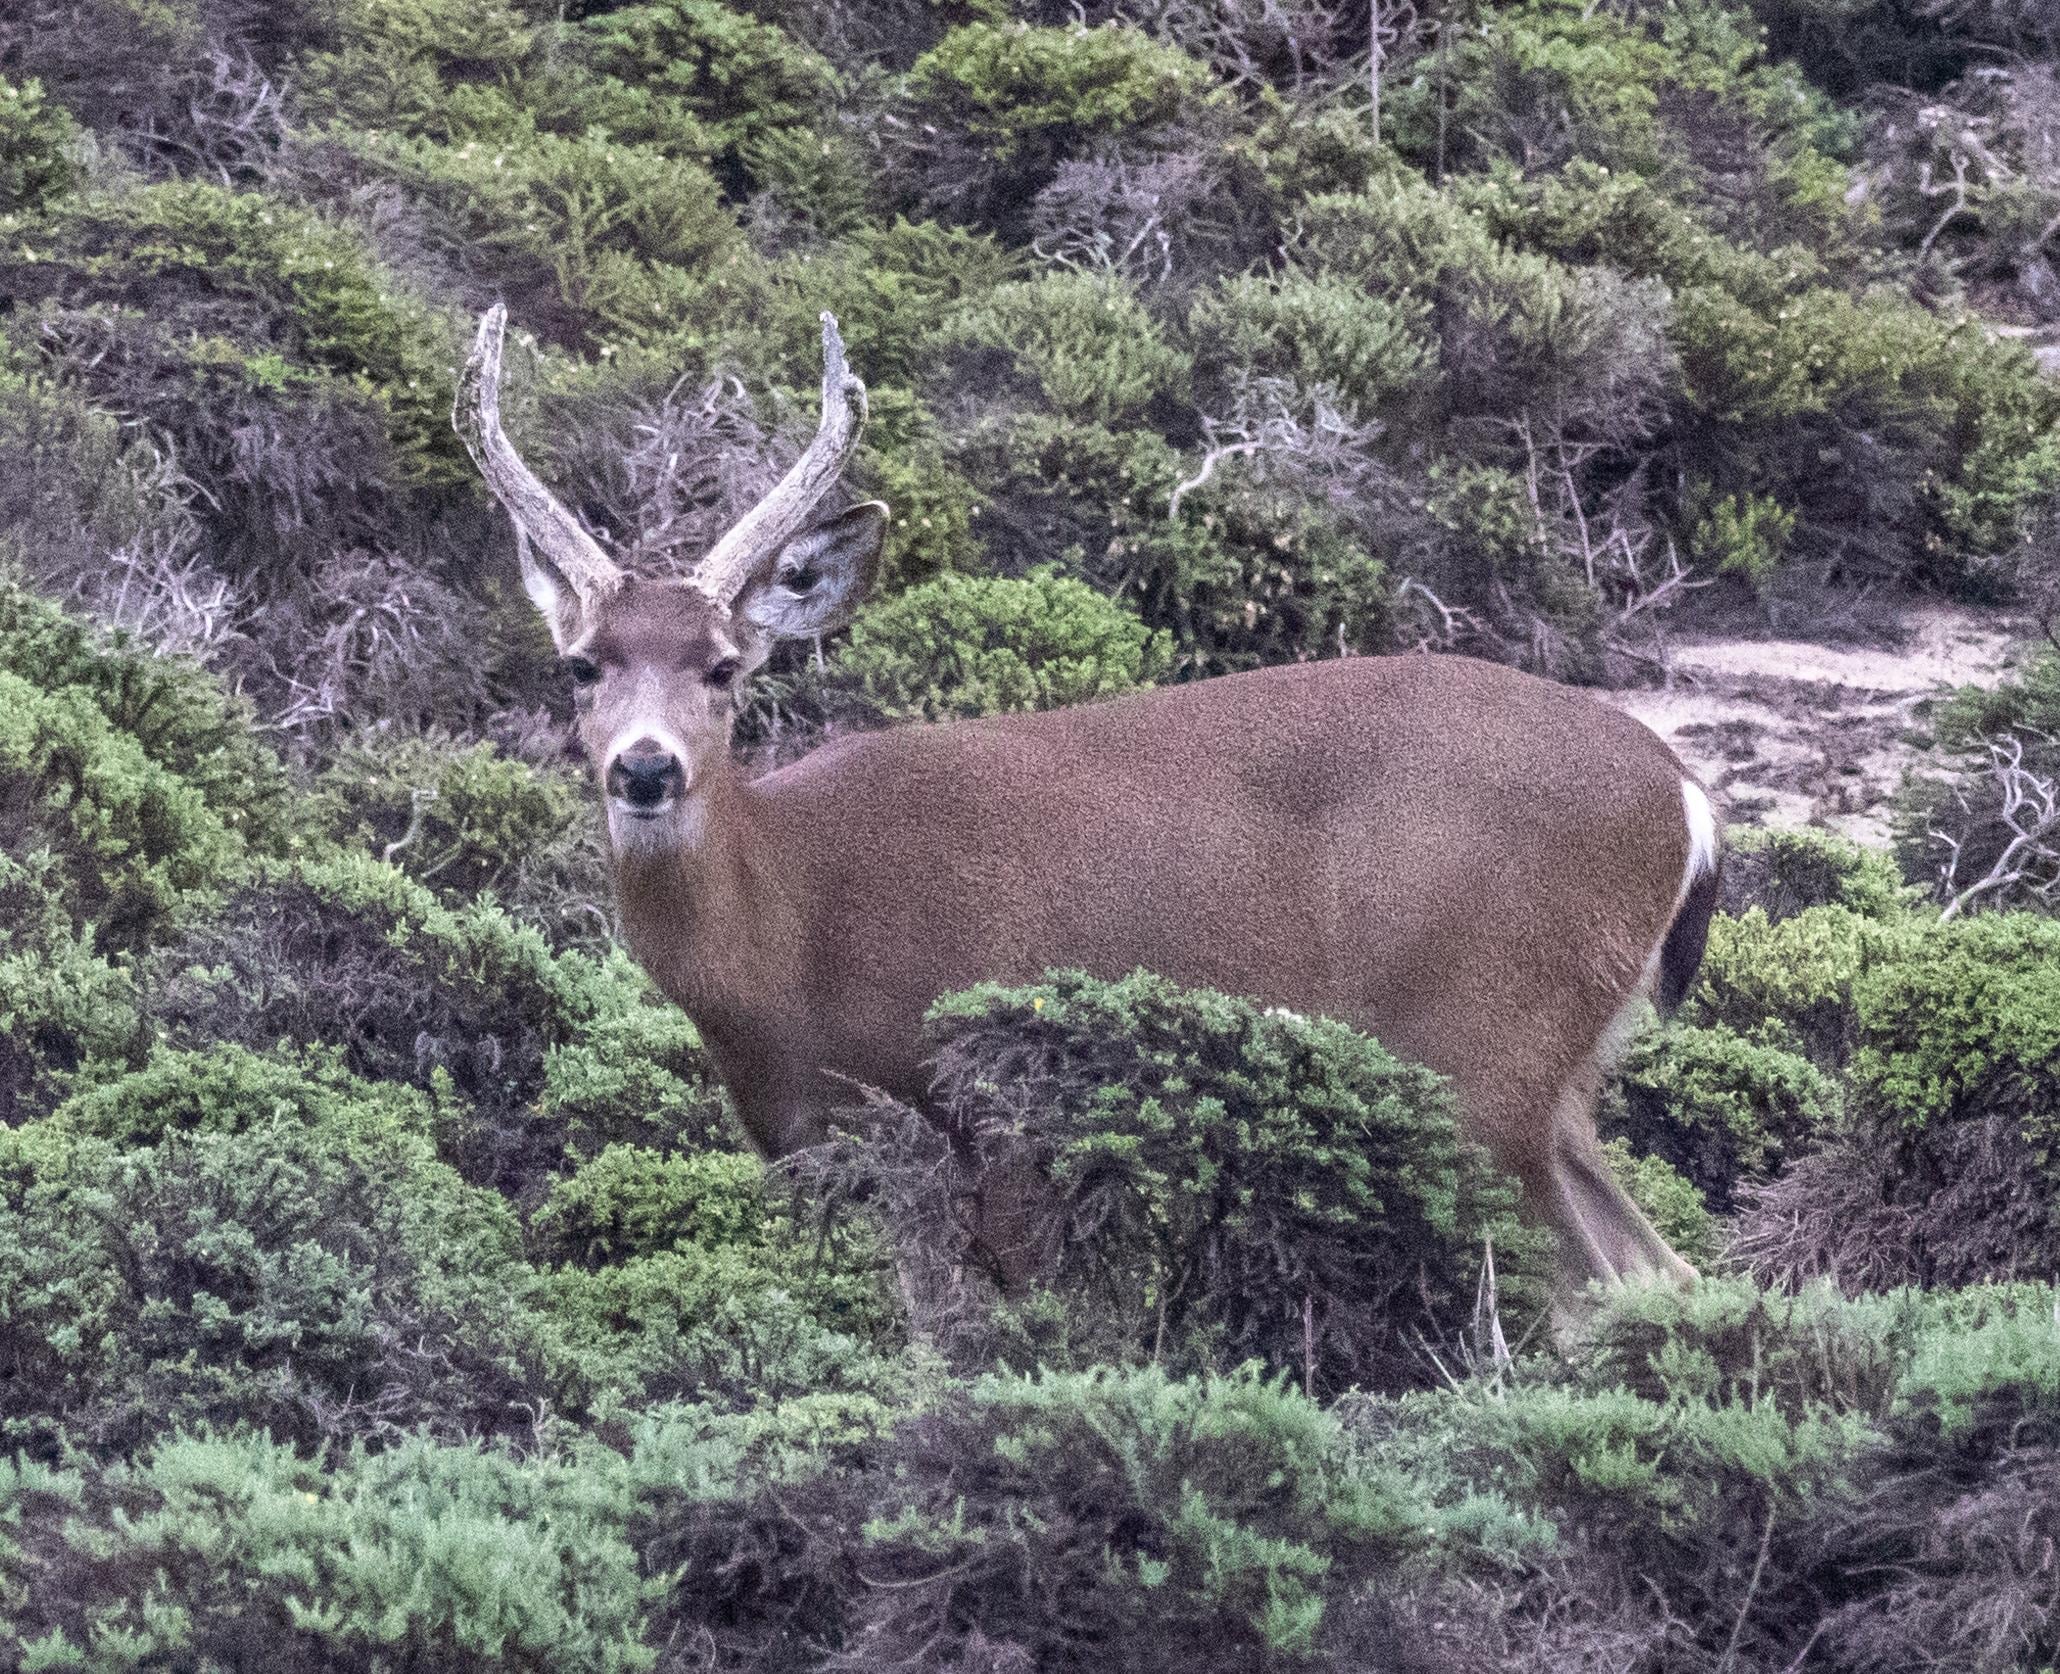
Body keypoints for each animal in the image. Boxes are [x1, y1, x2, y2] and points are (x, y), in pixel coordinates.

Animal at [455, 305, 1721, 1300]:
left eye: (724, 667)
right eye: (582, 665)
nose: (645, 768)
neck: (791, 932)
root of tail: (1683, 794)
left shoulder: (999, 1108)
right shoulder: (802, 1140)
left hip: (1485, 1041)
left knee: (1587, 1286)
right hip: (1555, 1070)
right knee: (1658, 1269)